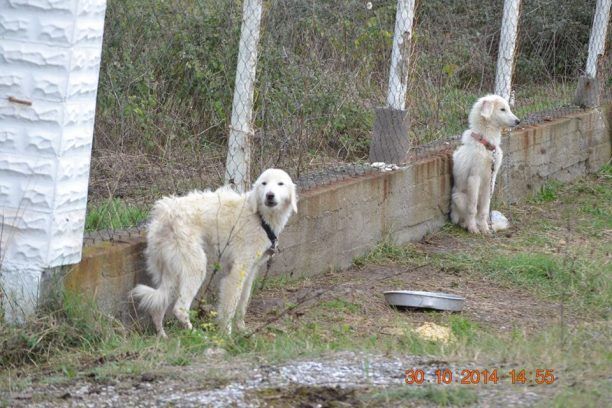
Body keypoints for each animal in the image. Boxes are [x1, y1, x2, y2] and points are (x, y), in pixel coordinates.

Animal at [130, 167, 298, 336]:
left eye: (280, 184)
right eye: (264, 183)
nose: (270, 195)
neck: (259, 217)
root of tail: (163, 213)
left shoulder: (249, 271)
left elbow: (242, 303)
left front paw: (242, 329)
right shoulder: (238, 271)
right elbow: (230, 306)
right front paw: (227, 334)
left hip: (172, 274)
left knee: (158, 308)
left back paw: (162, 336)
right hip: (195, 267)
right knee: (180, 309)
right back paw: (197, 335)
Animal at [452, 95, 520, 233]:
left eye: (509, 108)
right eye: (502, 109)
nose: (518, 121)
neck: (487, 145)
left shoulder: (491, 179)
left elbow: (484, 209)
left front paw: (485, 229)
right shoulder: (474, 178)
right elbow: (472, 208)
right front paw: (473, 229)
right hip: (458, 198)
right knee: (463, 218)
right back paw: (468, 225)